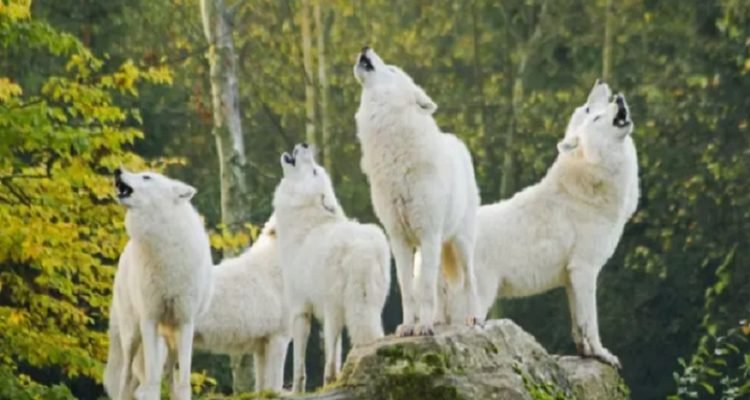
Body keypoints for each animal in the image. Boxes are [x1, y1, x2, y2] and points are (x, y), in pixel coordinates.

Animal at [103, 169, 213, 400]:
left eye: (146, 177)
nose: (118, 170)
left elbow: (183, 380)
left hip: (169, 338)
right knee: (127, 377)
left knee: (169, 374)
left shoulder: (185, 322)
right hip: (133, 335)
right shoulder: (149, 319)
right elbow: (152, 380)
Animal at [273, 144, 391, 392]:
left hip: (333, 311)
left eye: (315, 171)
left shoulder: (300, 311)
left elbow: (299, 365)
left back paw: (329, 383)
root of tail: (363, 249)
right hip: (370, 306)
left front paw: (297, 391)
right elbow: (335, 353)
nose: (304, 145)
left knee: (329, 359)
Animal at [353, 47, 481, 337]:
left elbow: (423, 288)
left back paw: (473, 319)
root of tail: (457, 142)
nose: (365, 47)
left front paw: (423, 327)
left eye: (392, 70)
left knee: (469, 280)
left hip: (460, 243)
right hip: (434, 247)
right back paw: (438, 320)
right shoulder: (399, 239)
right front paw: (409, 327)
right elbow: (408, 288)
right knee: (437, 284)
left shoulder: (428, 233)